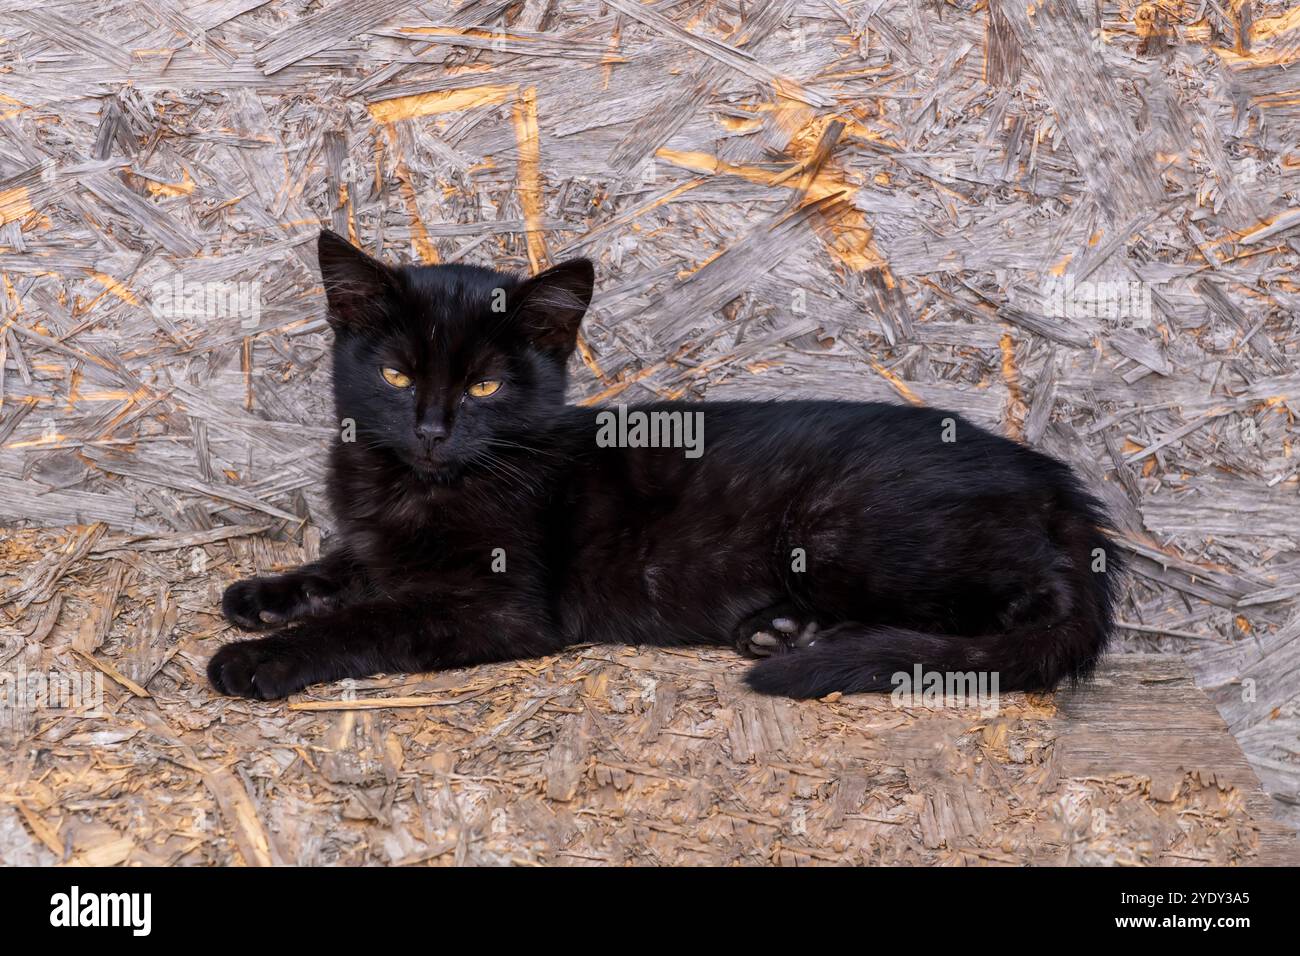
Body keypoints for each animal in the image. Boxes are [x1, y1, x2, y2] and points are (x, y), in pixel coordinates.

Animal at [208, 227, 1123, 697]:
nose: (432, 428)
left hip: (844, 530)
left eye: (485, 385)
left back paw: (813, 638)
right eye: (397, 375)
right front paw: (267, 594)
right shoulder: (379, 538)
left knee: (998, 612)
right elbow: (350, 564)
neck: (413, 484)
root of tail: (1062, 490)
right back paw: (782, 627)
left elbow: (374, 617)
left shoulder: (499, 608)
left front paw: (260, 657)